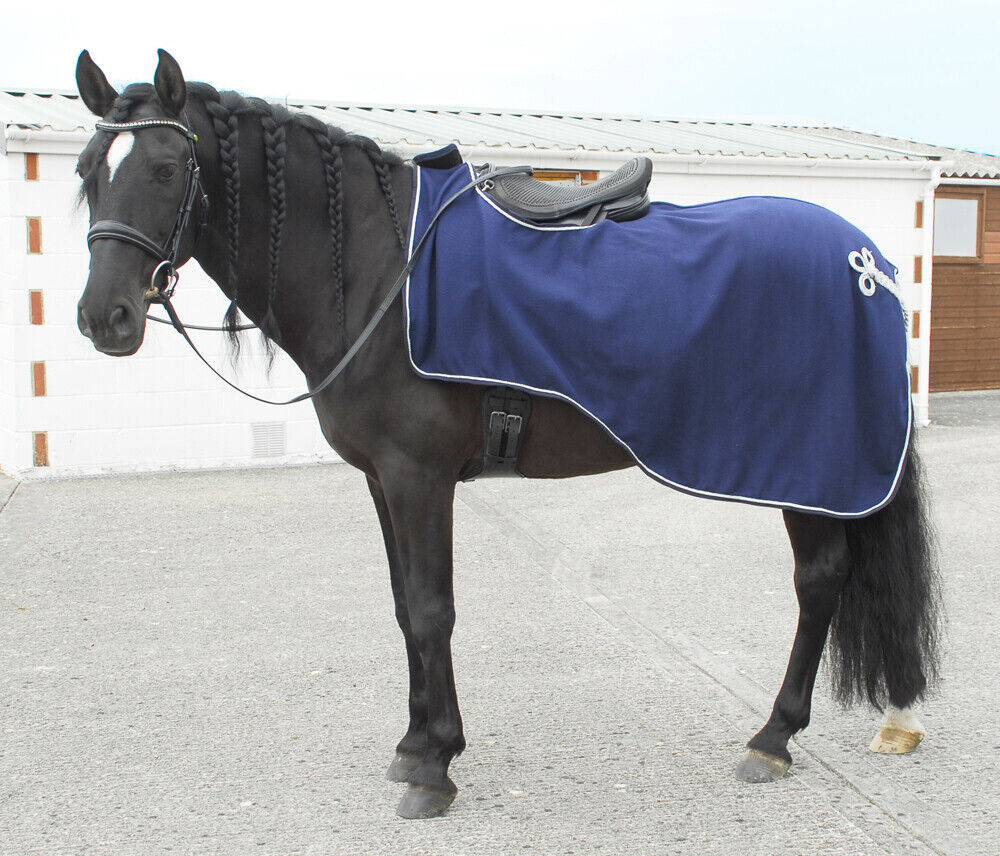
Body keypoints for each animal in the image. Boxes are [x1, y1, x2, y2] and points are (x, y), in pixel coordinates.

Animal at [73, 49, 941, 820]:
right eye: (88, 173)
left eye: (165, 168)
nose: (102, 318)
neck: (378, 271)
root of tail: (868, 263)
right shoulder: (381, 479)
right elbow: (403, 607)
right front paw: (415, 744)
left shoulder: (418, 476)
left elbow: (432, 609)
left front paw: (435, 767)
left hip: (811, 471)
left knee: (818, 581)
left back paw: (773, 736)